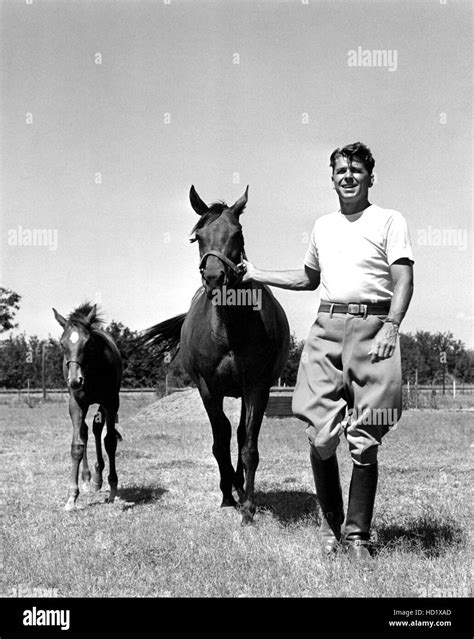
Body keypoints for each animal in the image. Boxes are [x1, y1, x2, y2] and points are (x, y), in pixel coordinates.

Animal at [52, 304, 122, 510]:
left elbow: (110, 441)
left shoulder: (111, 401)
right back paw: (87, 478)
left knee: (97, 429)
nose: (75, 380)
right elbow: (77, 445)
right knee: (83, 431)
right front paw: (71, 498)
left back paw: (98, 478)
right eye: (62, 344)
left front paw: (113, 489)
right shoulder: (76, 404)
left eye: (88, 343)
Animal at [141, 186, 288, 524]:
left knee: (241, 434)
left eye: (237, 233)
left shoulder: (257, 387)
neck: (229, 329)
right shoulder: (209, 389)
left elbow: (248, 446)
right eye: (198, 237)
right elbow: (220, 442)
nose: (214, 278)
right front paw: (228, 496)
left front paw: (247, 507)